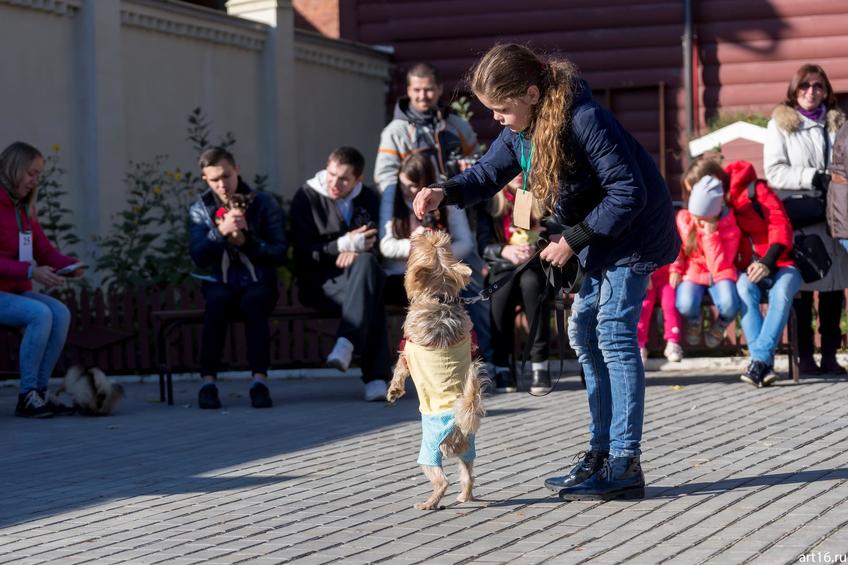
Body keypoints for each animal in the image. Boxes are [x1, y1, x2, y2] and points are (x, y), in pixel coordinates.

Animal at [386, 231, 486, 508]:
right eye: (442, 244)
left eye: (419, 246)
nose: (428, 230)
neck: (440, 298)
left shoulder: (406, 350)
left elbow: (399, 369)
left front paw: (393, 391)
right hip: (469, 448)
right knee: (468, 474)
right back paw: (464, 496)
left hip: (429, 448)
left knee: (442, 480)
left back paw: (428, 503)